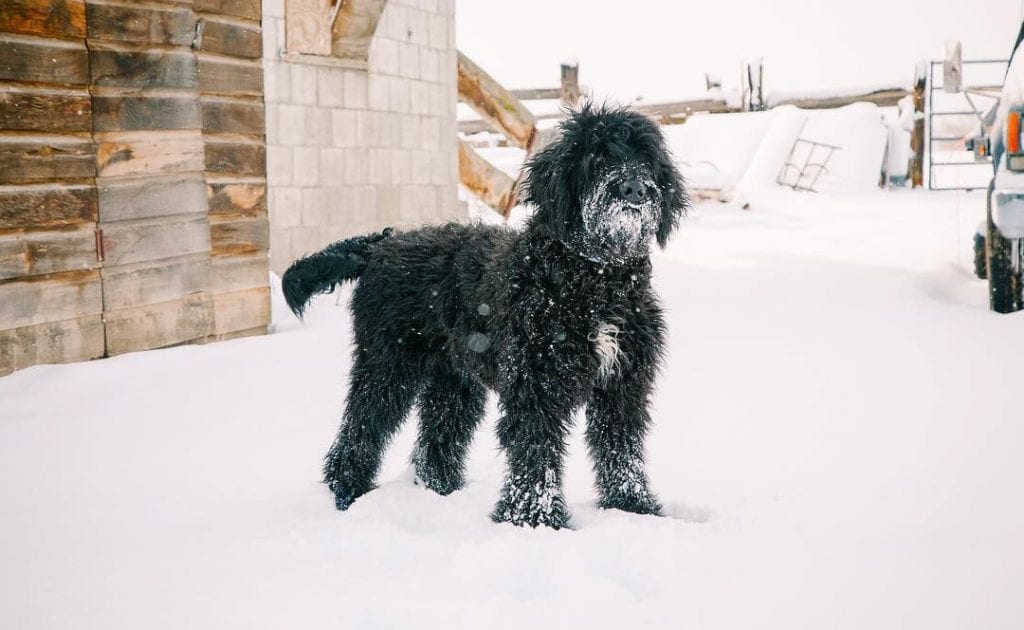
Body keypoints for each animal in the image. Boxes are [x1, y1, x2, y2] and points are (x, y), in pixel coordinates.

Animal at [284, 103, 692, 528]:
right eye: (597, 156)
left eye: (646, 159)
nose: (634, 189)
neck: (592, 280)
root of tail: (382, 243)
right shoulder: (536, 385)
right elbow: (535, 451)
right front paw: (534, 521)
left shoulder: (623, 385)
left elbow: (620, 448)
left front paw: (634, 508)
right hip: (387, 364)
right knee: (361, 426)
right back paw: (345, 492)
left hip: (452, 380)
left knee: (436, 439)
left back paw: (441, 491)